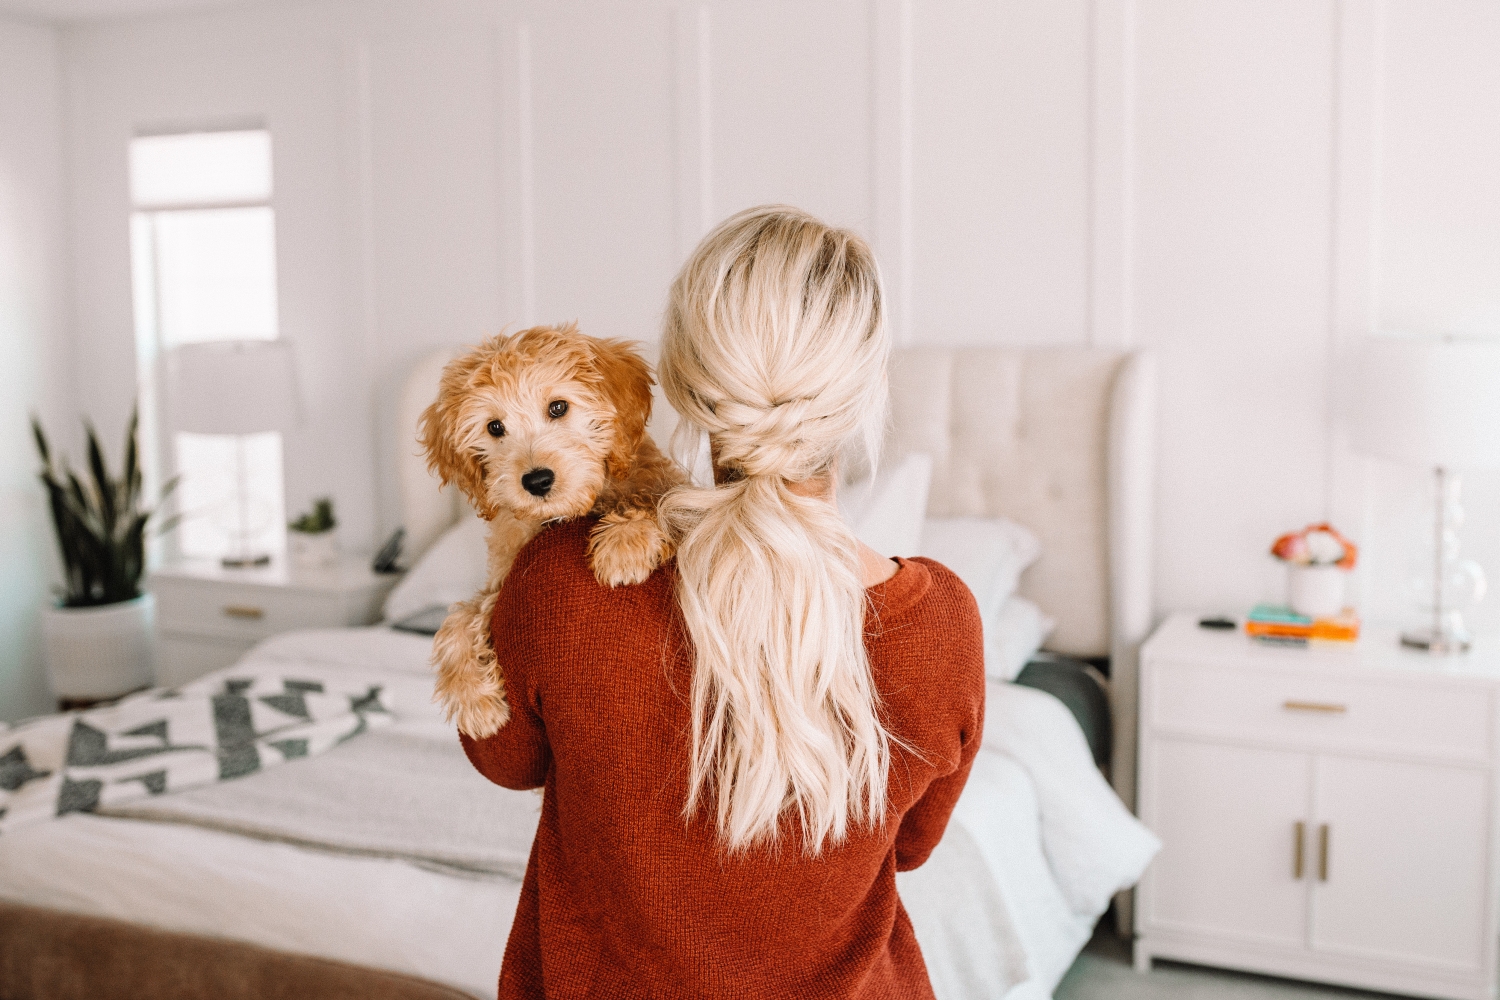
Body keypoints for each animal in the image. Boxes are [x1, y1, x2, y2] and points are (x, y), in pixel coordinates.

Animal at [417, 325, 687, 740]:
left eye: (558, 407)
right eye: (494, 427)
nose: (537, 480)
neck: (560, 515)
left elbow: (664, 505)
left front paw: (624, 545)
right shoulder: (502, 583)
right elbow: (458, 618)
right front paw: (473, 699)